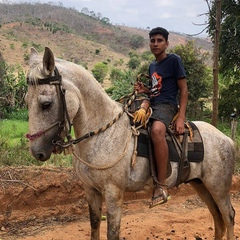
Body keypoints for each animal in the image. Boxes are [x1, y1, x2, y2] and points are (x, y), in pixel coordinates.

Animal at [25, 47, 235, 240]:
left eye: (46, 104)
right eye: (26, 101)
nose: (37, 152)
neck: (103, 136)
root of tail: (227, 139)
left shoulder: (114, 193)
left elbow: (112, 233)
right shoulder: (91, 191)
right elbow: (94, 226)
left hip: (218, 188)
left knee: (229, 216)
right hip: (201, 185)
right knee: (217, 219)